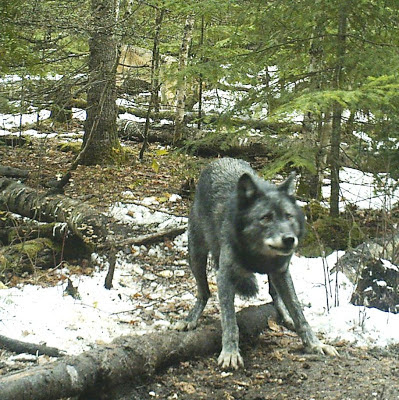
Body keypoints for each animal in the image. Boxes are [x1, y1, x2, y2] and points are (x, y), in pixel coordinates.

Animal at [175, 158, 338, 370]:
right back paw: (190, 319)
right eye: (266, 217)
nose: (289, 239)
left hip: (277, 275)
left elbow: (299, 312)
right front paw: (230, 353)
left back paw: (285, 315)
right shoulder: (225, 277)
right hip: (196, 257)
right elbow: (230, 321)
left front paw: (315, 344)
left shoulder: (281, 271)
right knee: (204, 293)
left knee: (274, 295)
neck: (258, 255)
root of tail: (220, 159)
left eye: (288, 216)